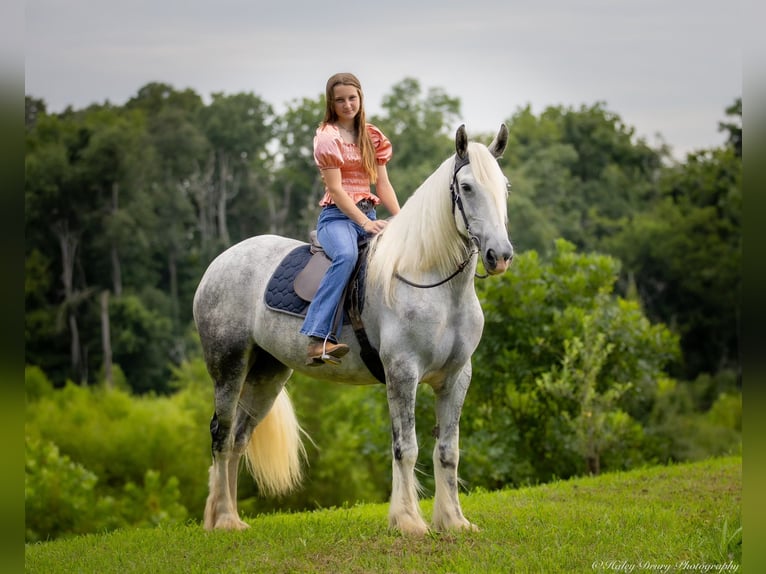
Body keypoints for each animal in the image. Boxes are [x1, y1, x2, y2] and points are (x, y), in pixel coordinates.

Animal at [194, 124, 516, 536]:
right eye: (468, 187)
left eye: (504, 187)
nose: (499, 255)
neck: (433, 283)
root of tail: (220, 261)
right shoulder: (402, 372)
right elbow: (405, 447)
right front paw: (409, 521)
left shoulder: (457, 377)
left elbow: (448, 450)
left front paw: (454, 521)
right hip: (229, 366)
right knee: (221, 435)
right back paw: (221, 520)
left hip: (268, 373)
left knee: (238, 438)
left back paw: (231, 518)